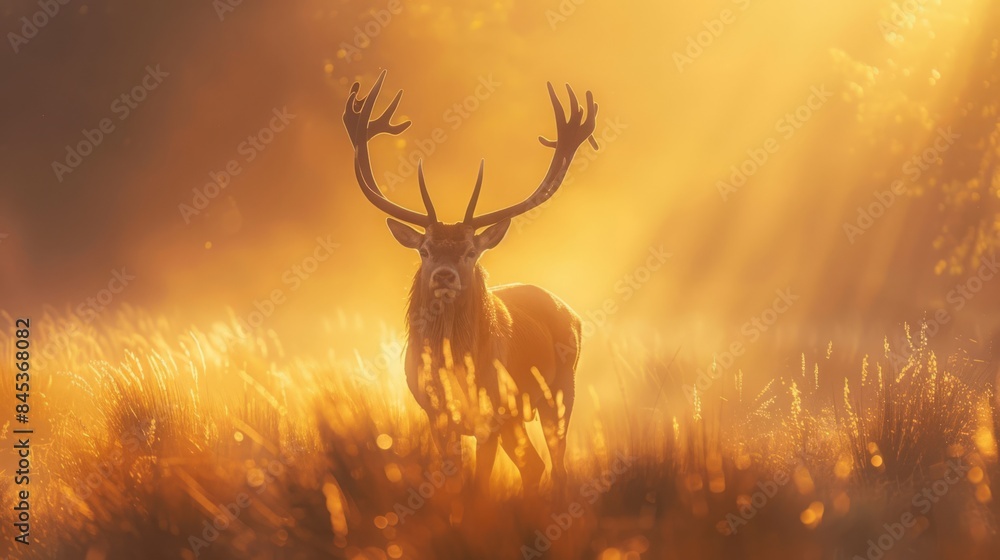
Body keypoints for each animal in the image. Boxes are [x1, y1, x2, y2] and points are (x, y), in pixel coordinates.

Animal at [343, 70, 598, 497]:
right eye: (425, 249)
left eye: (469, 251)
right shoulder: (436, 413)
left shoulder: (490, 412)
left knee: (557, 467)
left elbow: (479, 483)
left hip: (562, 390)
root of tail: (573, 314)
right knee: (533, 466)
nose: (444, 275)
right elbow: (453, 481)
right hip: (519, 415)